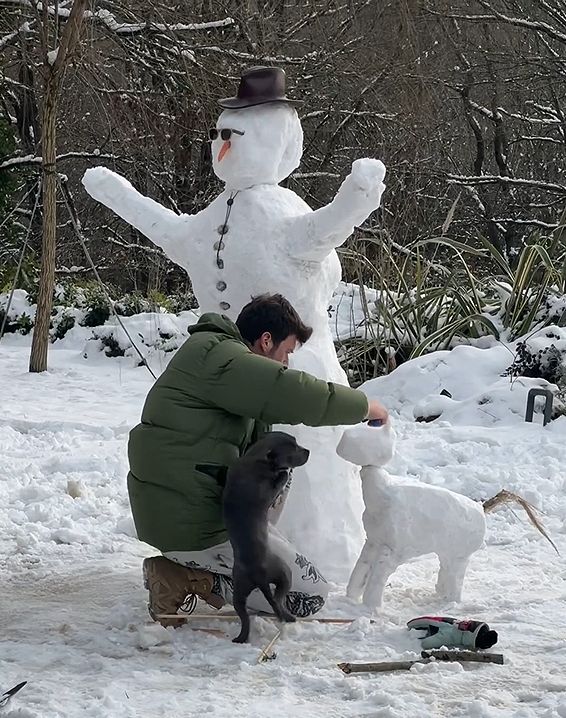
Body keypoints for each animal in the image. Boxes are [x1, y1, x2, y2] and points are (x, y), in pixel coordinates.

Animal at [223, 430, 310, 644]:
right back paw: (288, 616)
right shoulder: (268, 491)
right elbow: (279, 480)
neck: (257, 460)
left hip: (239, 590)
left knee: (244, 616)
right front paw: (284, 472)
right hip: (285, 572)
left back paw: (241, 637)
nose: (308, 451)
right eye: (292, 451)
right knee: (277, 600)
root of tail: (259, 576)